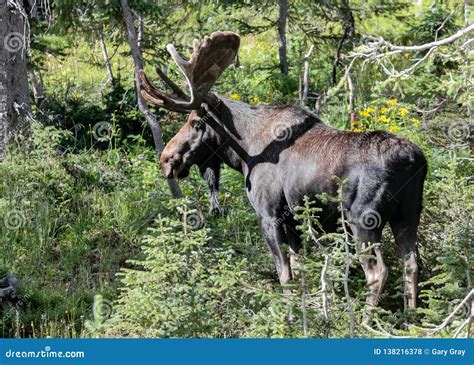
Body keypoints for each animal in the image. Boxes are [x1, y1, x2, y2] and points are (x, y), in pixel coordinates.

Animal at [139, 31, 428, 308]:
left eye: (197, 123)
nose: (166, 159)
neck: (245, 153)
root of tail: (414, 161)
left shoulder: (269, 214)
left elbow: (285, 276)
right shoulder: (294, 221)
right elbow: (300, 271)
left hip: (364, 219)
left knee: (378, 272)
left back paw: (370, 318)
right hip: (408, 214)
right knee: (411, 264)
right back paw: (412, 315)